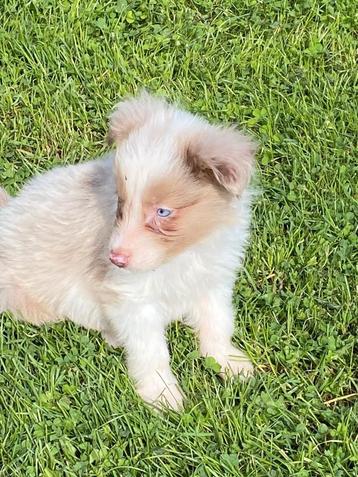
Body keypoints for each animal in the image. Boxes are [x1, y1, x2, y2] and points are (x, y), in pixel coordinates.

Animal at [0, 92, 258, 410]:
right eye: (121, 203)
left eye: (163, 212)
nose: (116, 259)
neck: (181, 255)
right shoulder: (131, 300)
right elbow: (151, 351)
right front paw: (162, 395)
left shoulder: (213, 280)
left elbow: (217, 324)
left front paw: (231, 363)